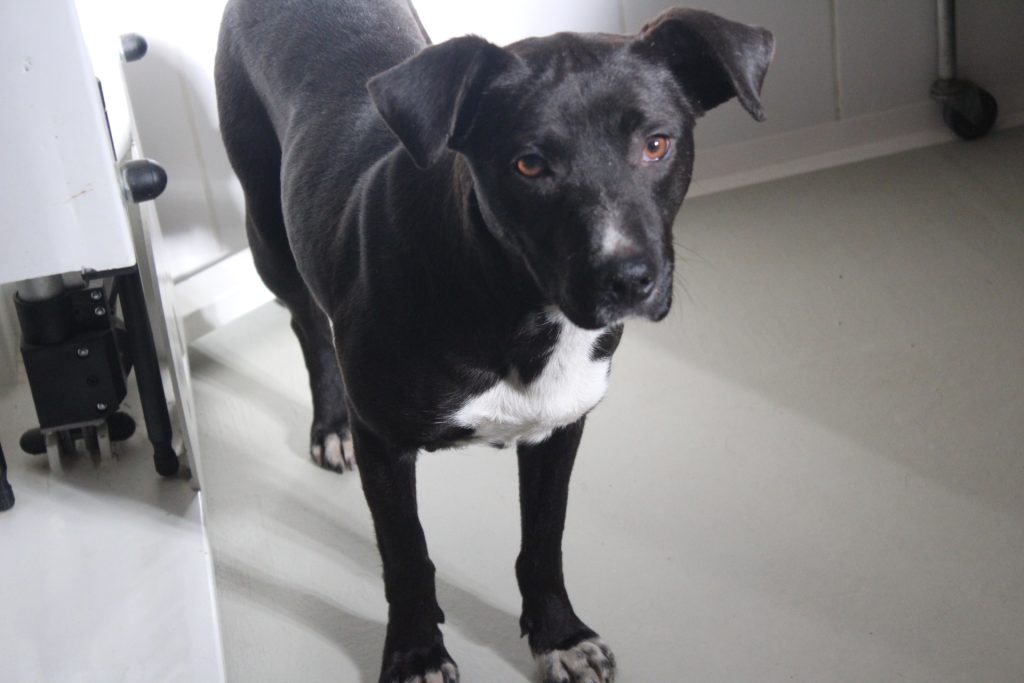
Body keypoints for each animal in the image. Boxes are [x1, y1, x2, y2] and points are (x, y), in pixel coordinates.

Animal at [215, 1, 772, 680]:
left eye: (657, 144)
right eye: (529, 164)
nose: (628, 280)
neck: (516, 304)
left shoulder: (561, 426)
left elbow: (544, 538)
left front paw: (559, 634)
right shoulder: (384, 443)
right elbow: (407, 554)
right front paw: (416, 653)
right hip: (266, 228)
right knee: (305, 322)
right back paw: (330, 425)